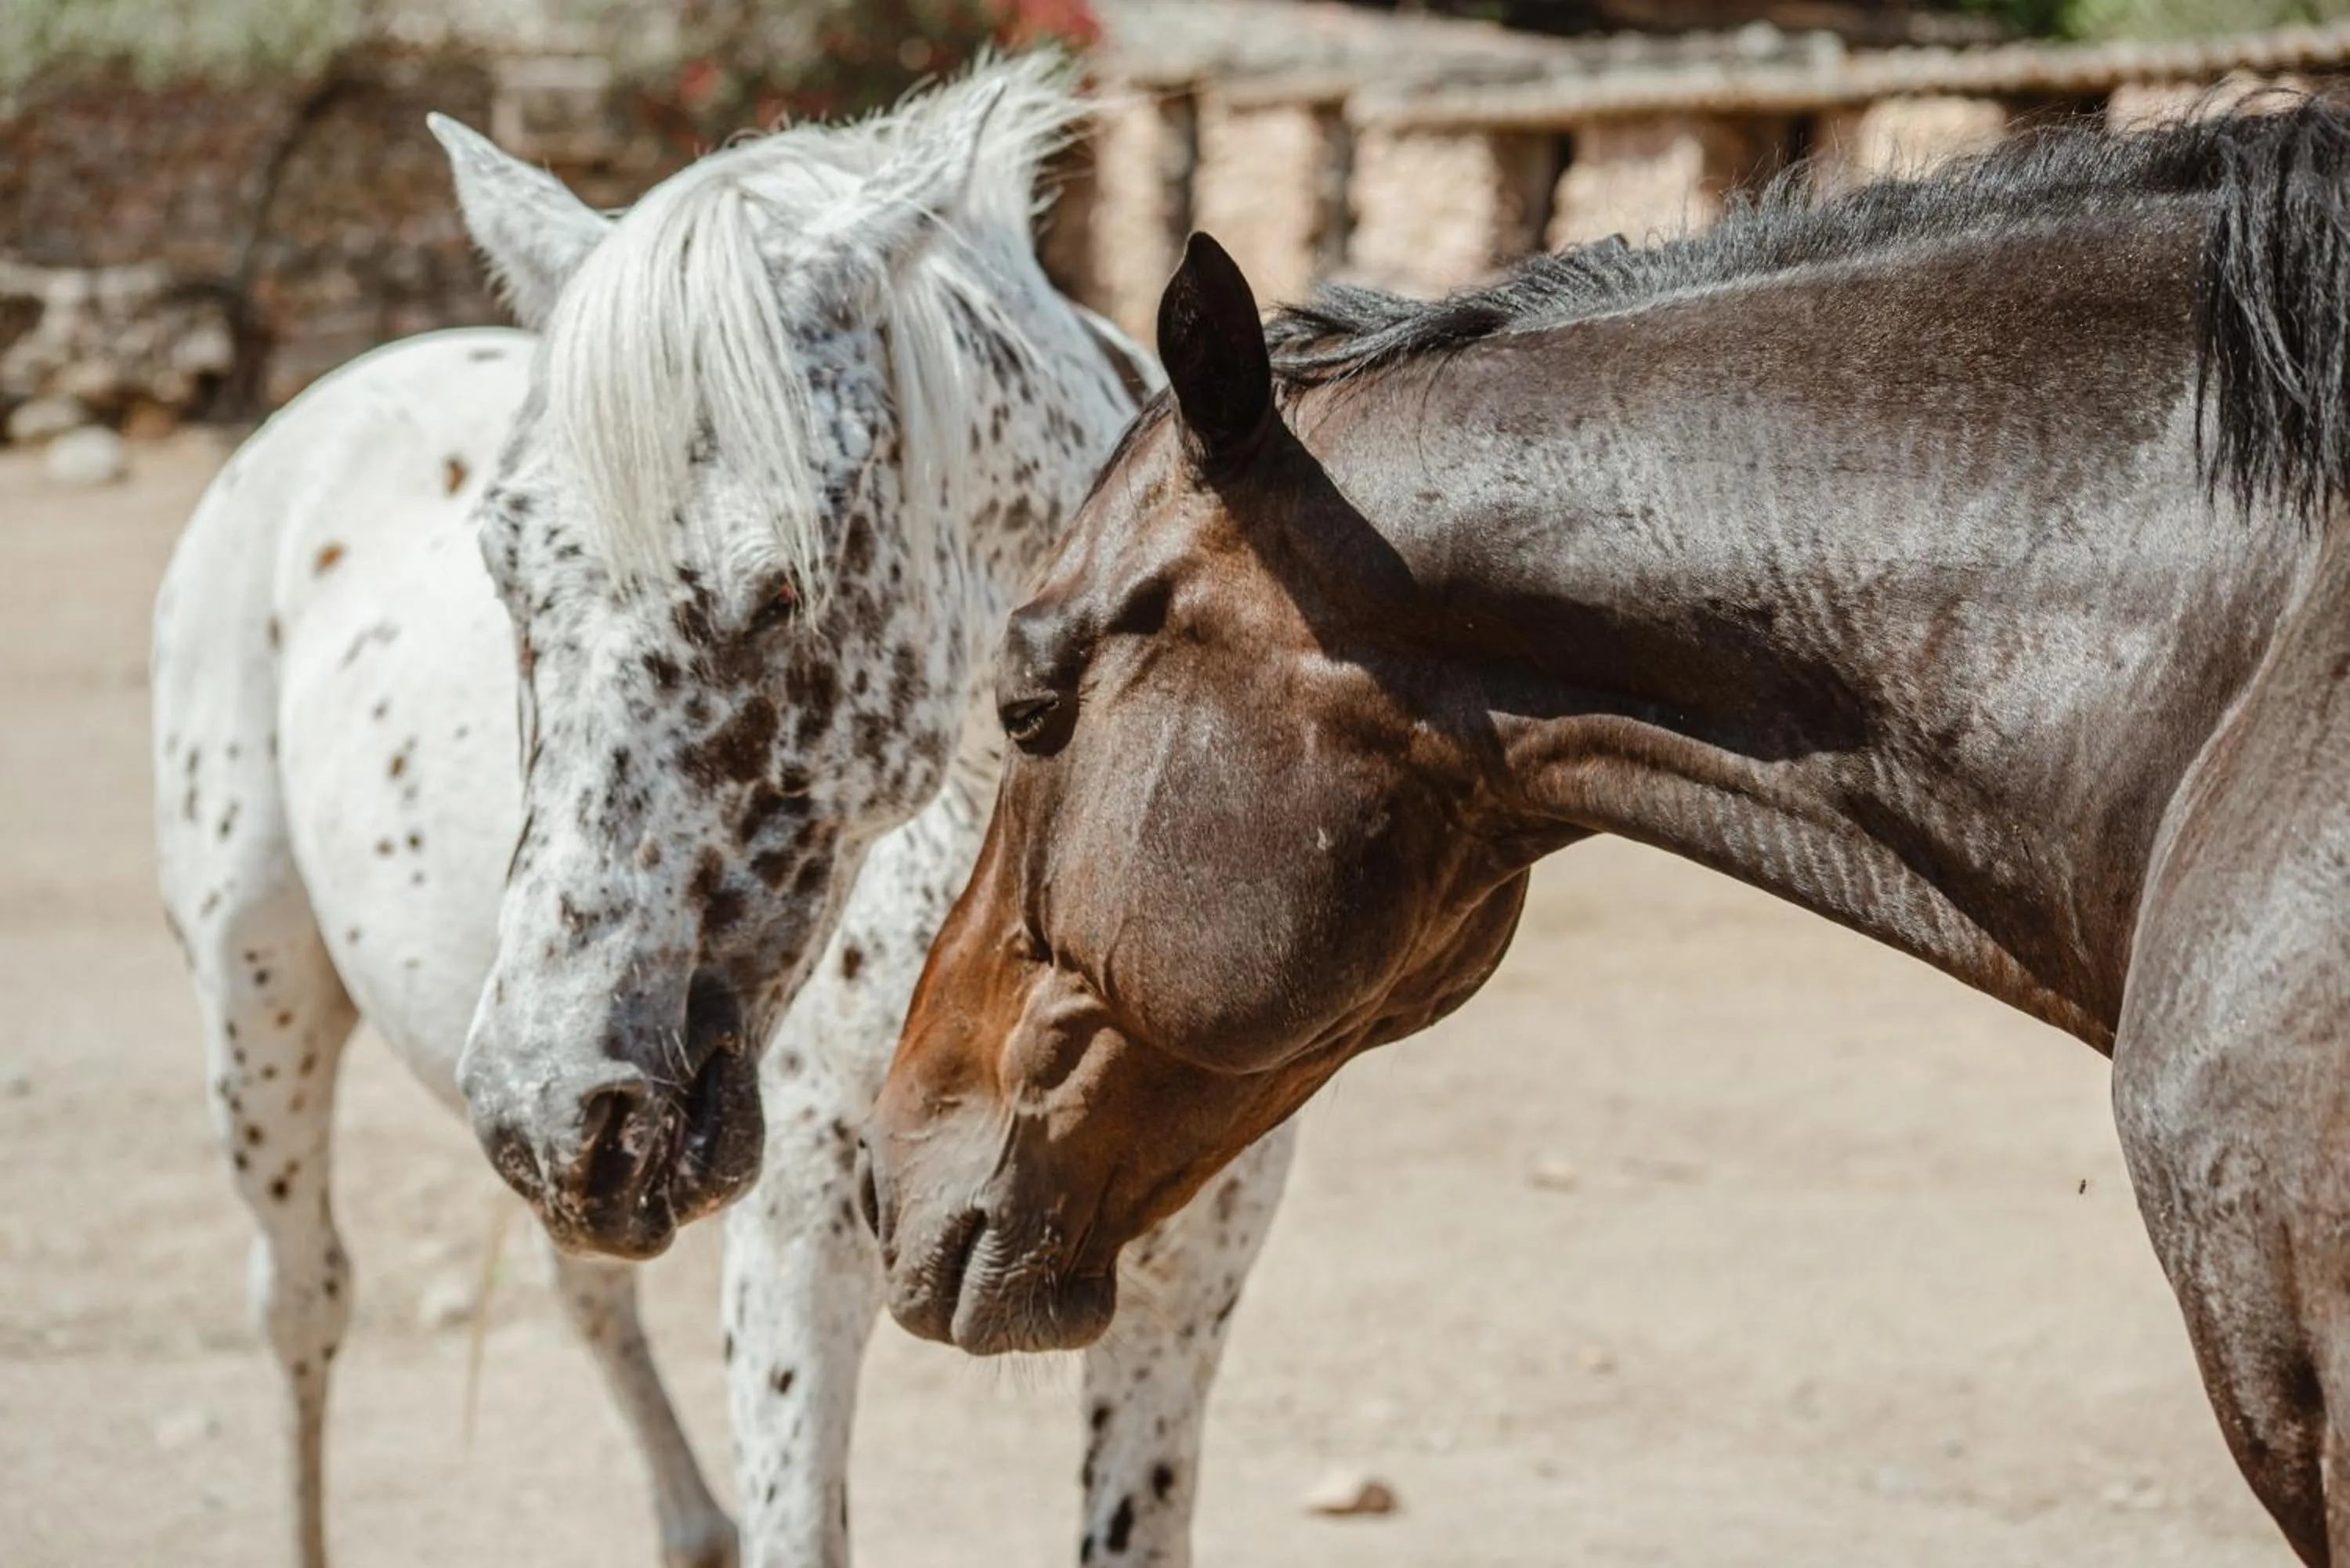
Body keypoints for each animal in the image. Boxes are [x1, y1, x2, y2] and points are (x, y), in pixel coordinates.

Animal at [151, 56, 1294, 1568]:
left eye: (785, 586)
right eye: (502, 569)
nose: (558, 1098)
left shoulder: (1186, 1284)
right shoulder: (798, 1261)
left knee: (580, 1289)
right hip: (258, 1004)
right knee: (303, 1306)